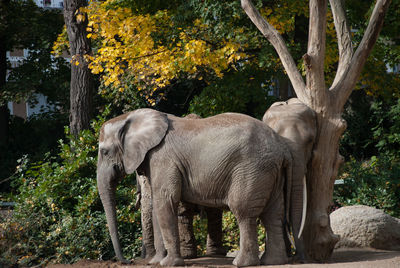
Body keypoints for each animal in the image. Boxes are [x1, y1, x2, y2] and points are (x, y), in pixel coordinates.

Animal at [96, 108, 296, 266]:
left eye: (104, 152)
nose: (128, 261)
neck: (131, 117)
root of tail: (281, 147)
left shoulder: (163, 158)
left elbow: (165, 201)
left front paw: (169, 264)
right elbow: (158, 207)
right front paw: (156, 262)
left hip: (252, 170)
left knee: (244, 212)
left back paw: (241, 263)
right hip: (270, 171)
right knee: (273, 213)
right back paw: (273, 261)